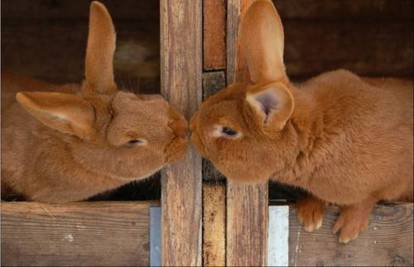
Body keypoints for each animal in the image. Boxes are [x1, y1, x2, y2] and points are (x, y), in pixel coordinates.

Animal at [190, 0, 410, 244]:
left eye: (228, 130)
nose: (192, 129)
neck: (315, 133)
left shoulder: (392, 177)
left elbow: (368, 199)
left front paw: (347, 231)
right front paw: (310, 216)